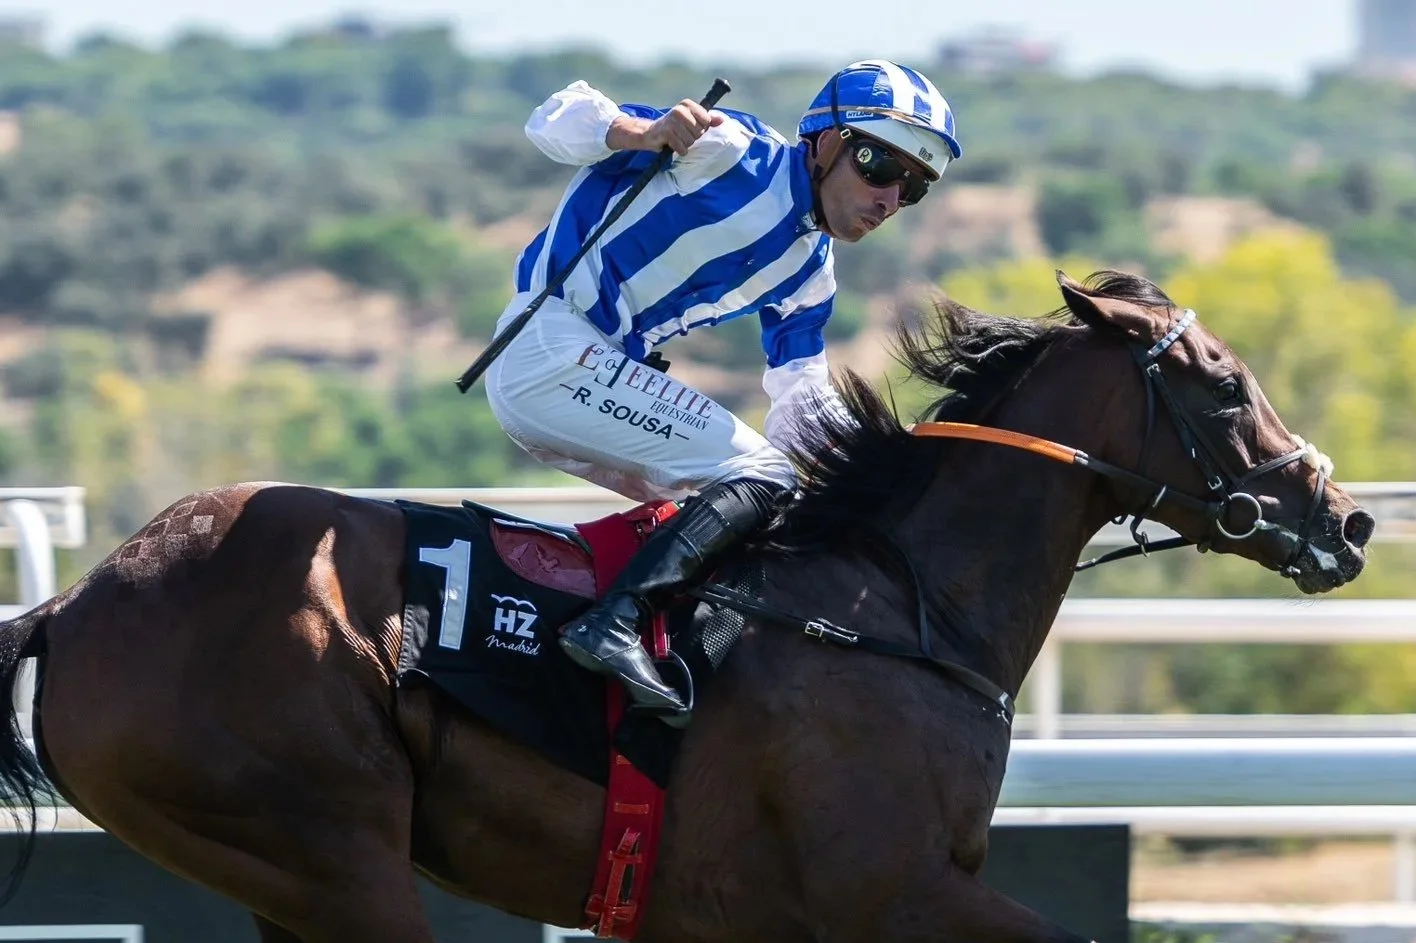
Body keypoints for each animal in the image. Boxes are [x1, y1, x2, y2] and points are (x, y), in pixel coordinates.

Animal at [0, 269, 1373, 943]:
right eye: (1223, 382)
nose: (1345, 519)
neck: (898, 606)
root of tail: (77, 602)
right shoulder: (888, 892)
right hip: (327, 853)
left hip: (290, 880)